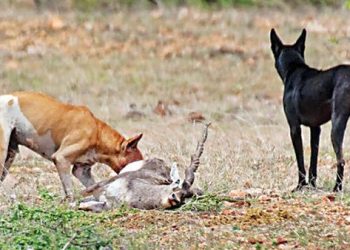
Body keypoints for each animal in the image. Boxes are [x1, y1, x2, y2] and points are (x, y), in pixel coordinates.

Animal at [0, 92, 144, 199]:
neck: (97, 133)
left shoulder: (81, 171)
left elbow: (95, 188)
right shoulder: (61, 159)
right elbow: (69, 191)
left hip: (10, 156)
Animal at [272, 27, 350, 191]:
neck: (294, 67)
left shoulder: (294, 128)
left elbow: (300, 160)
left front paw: (300, 185)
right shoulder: (316, 128)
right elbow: (313, 160)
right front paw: (312, 185)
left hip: (336, 125)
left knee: (341, 160)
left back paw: (336, 188)